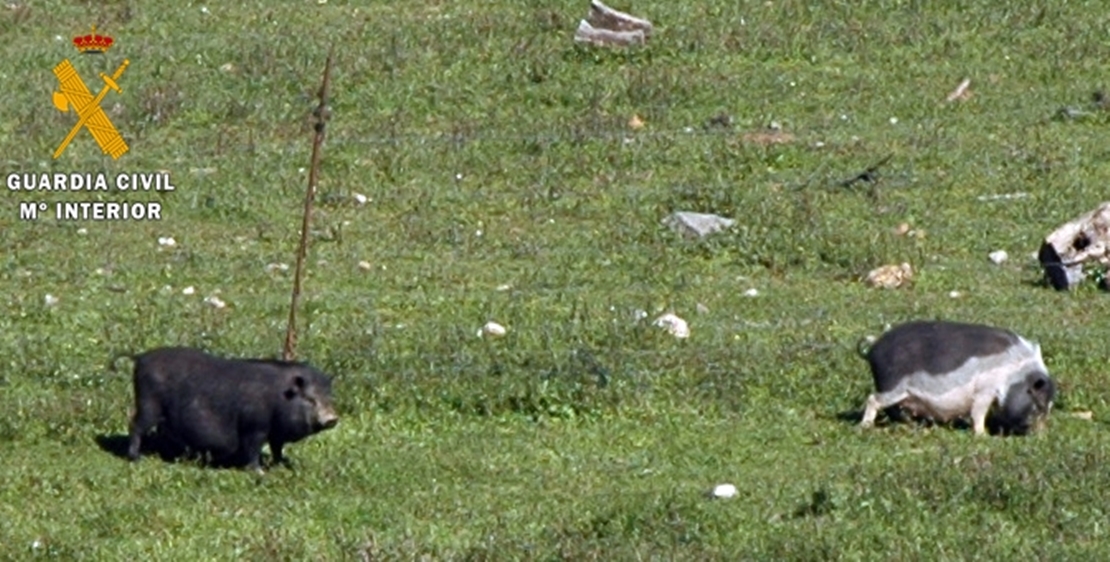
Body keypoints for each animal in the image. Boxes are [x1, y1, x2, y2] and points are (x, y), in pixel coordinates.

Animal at [121, 346, 337, 468]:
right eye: (310, 399)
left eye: (329, 397)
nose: (332, 418)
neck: (279, 397)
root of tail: (140, 358)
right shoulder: (254, 426)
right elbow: (253, 448)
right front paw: (258, 471)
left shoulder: (276, 432)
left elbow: (277, 448)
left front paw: (282, 464)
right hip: (148, 404)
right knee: (135, 425)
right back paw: (135, 458)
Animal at [856, 319, 1056, 435]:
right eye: (1038, 405)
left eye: (1049, 406)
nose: (1040, 434)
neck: (1015, 372)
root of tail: (873, 350)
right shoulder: (985, 389)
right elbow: (978, 412)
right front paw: (983, 436)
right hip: (892, 386)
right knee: (873, 399)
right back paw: (866, 427)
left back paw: (912, 426)